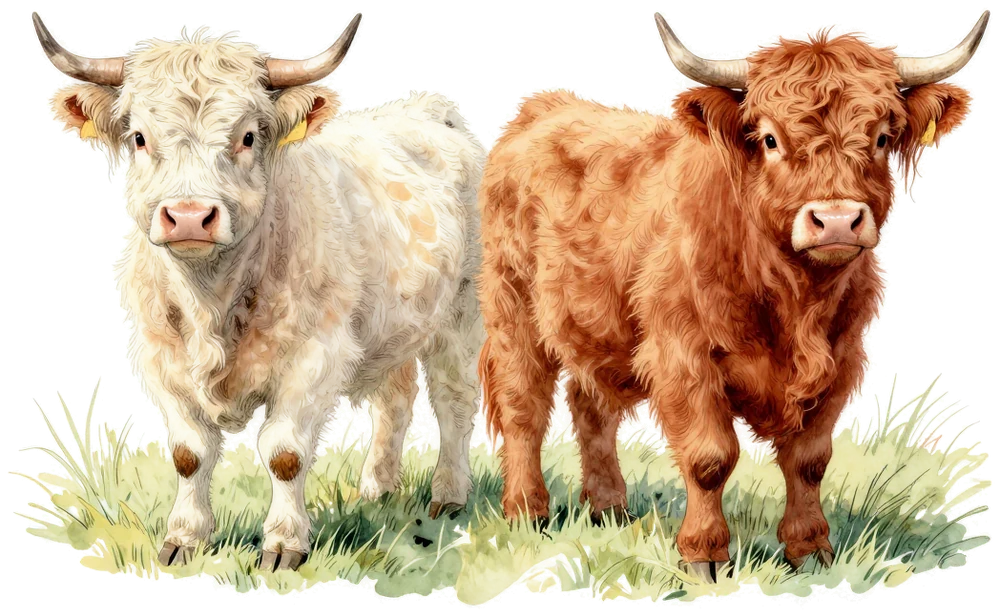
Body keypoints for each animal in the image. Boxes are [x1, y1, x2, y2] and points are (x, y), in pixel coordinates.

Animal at [31, 11, 488, 572]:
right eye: (138, 137)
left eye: (248, 136)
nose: (189, 216)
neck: (212, 302)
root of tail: (429, 108)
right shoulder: (161, 360)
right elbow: (189, 454)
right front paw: (184, 540)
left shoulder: (316, 356)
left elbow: (285, 454)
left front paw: (283, 545)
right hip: (393, 327)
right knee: (395, 402)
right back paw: (376, 491)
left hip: (460, 313)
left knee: (453, 401)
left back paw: (449, 496)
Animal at [476, 9, 990, 583]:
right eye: (768, 139)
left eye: (880, 137)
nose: (836, 219)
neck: (792, 297)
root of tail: (544, 106)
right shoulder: (682, 356)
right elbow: (710, 458)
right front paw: (703, 556)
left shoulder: (842, 360)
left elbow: (809, 461)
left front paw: (810, 549)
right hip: (512, 303)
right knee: (524, 407)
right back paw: (526, 512)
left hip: (598, 327)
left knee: (591, 406)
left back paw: (609, 510)